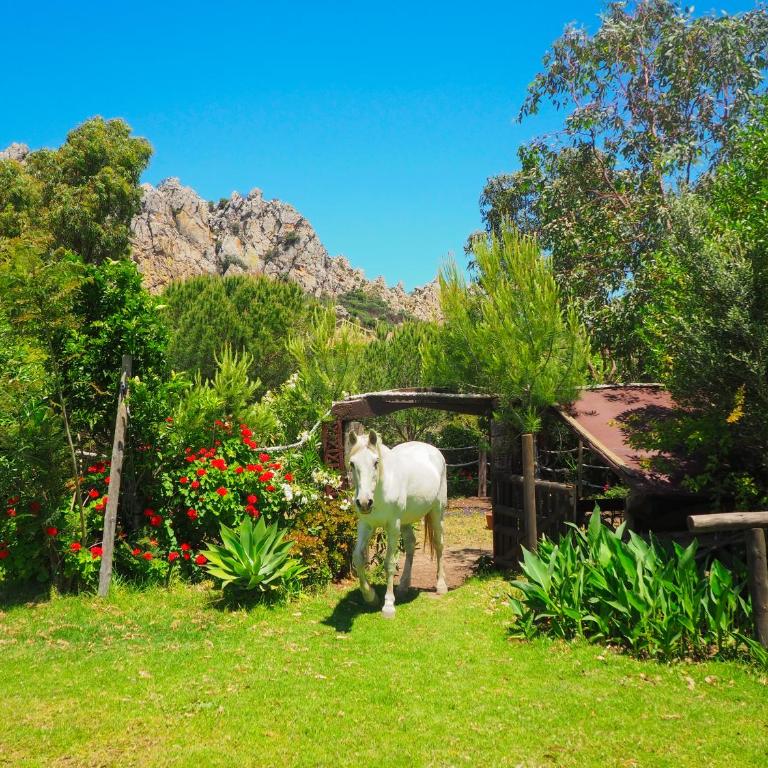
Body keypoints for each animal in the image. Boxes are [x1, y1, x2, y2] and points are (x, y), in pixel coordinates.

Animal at [346, 429, 447, 618]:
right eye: (352, 463)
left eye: (376, 462)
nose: (364, 503)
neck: (380, 489)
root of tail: (433, 450)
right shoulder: (366, 525)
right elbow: (357, 558)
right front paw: (370, 596)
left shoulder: (392, 526)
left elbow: (389, 564)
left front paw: (388, 605)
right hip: (405, 521)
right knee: (411, 545)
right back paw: (403, 586)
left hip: (437, 512)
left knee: (439, 545)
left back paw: (441, 585)